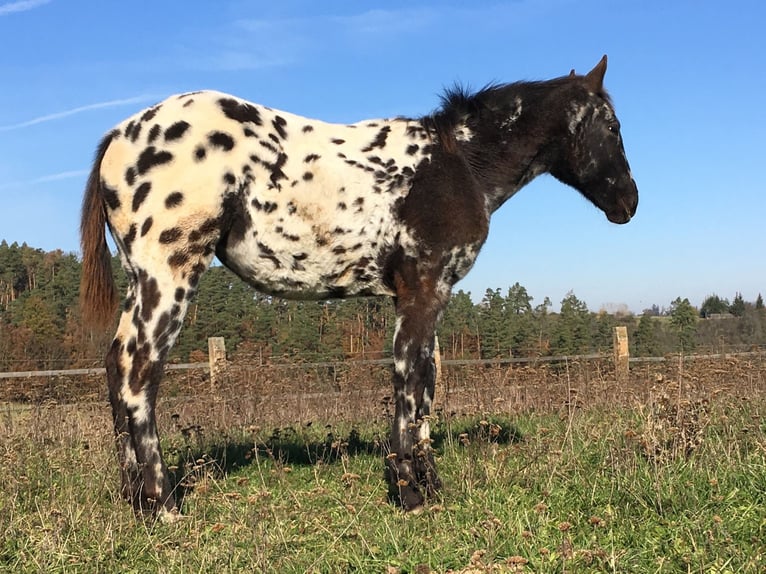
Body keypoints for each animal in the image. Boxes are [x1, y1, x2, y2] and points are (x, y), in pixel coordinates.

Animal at [81, 55, 640, 520]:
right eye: (613, 126)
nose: (629, 202)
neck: (458, 164)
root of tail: (118, 135)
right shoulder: (423, 292)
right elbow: (408, 383)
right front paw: (409, 492)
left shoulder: (425, 297)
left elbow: (427, 385)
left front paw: (429, 485)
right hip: (169, 275)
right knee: (139, 373)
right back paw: (163, 504)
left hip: (142, 282)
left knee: (115, 366)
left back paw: (135, 498)